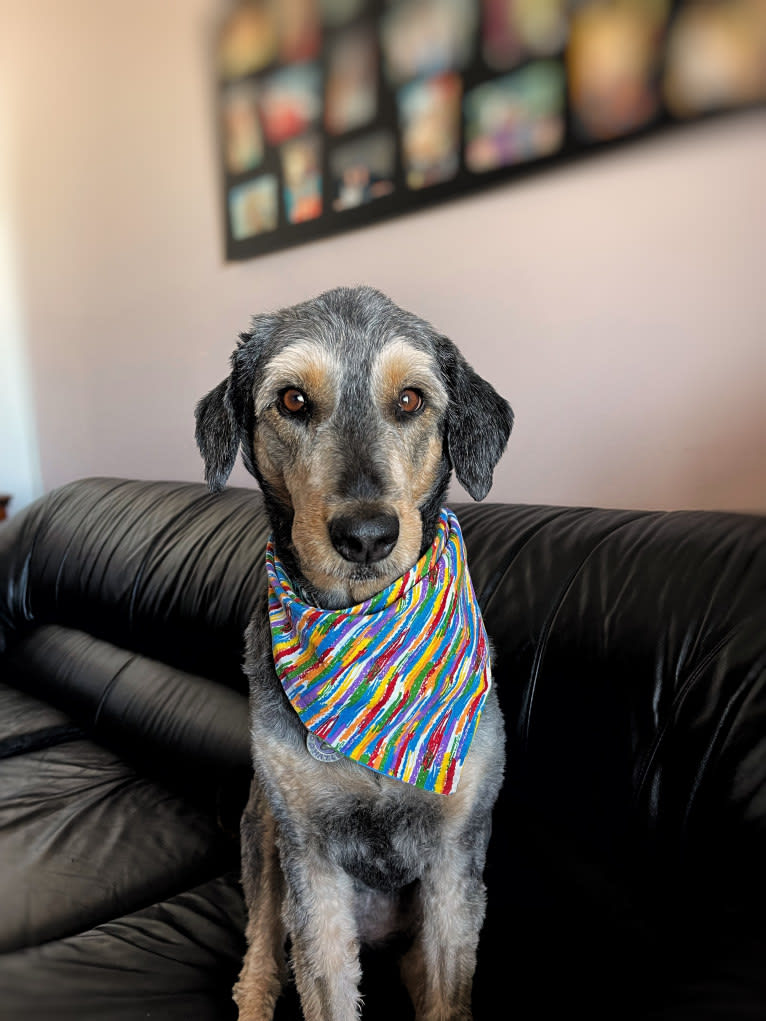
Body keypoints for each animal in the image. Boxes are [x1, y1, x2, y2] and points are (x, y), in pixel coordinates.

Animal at [195, 287, 512, 1021]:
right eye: (292, 401)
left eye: (411, 400)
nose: (366, 534)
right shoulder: (311, 860)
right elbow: (324, 985)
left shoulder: (456, 856)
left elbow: (451, 991)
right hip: (262, 834)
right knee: (261, 948)